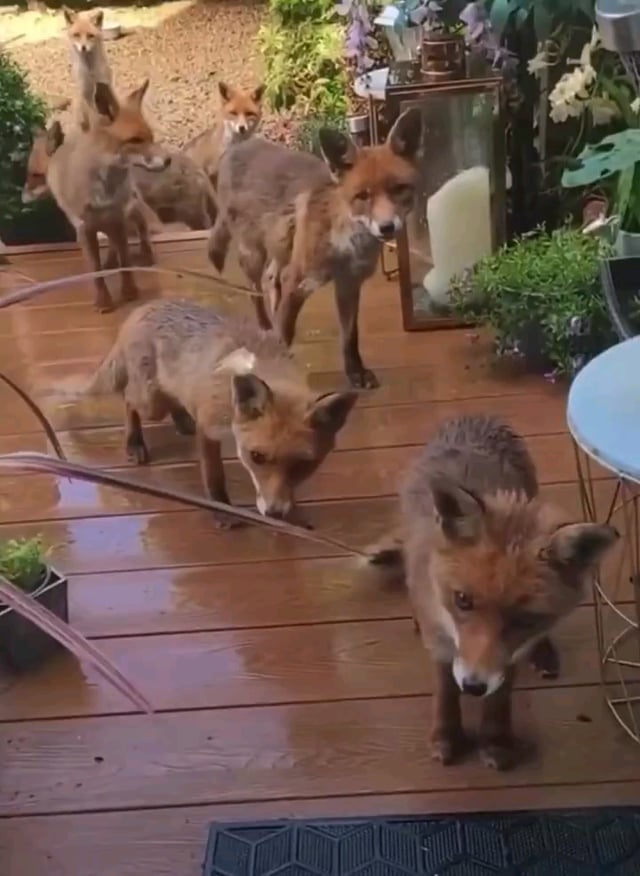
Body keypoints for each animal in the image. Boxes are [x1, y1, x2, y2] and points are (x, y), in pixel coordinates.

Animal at [37, 78, 170, 312]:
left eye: (151, 138)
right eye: (135, 140)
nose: (168, 160)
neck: (104, 191)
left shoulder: (117, 218)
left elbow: (125, 261)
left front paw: (129, 292)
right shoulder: (85, 228)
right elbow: (95, 270)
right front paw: (103, 300)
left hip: (130, 209)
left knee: (140, 228)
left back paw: (145, 255)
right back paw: (110, 262)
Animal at [89, 298, 360, 532]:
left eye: (304, 465)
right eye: (257, 457)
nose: (274, 513)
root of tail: (144, 307)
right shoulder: (208, 429)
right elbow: (214, 476)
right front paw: (223, 510)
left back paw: (181, 419)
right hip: (151, 403)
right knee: (128, 398)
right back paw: (134, 441)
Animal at [208, 105, 422, 386]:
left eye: (398, 189)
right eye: (363, 196)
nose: (387, 227)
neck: (344, 243)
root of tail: (239, 146)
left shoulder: (349, 284)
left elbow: (349, 338)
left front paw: (355, 373)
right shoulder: (299, 281)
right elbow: (284, 334)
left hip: (281, 247)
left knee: (270, 280)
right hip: (253, 254)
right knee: (255, 291)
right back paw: (265, 327)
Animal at [368, 414, 616, 768]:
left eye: (525, 617)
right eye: (462, 600)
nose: (473, 687)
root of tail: (473, 416)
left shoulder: (507, 654)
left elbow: (501, 691)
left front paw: (496, 738)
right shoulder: (441, 640)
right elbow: (445, 688)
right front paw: (446, 735)